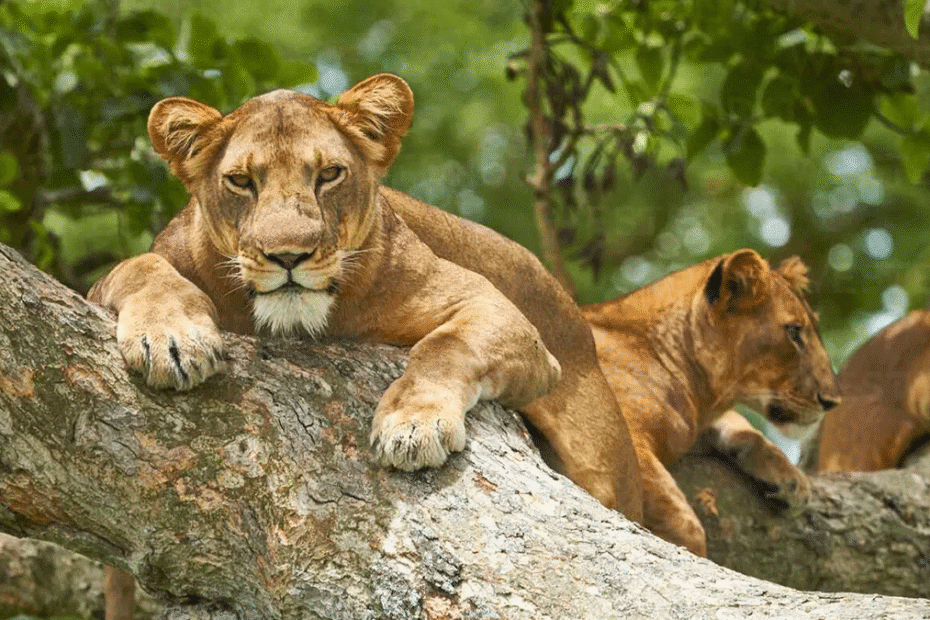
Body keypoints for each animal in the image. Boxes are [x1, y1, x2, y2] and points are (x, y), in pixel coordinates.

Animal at [89, 74, 646, 619]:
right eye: (242, 181)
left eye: (329, 175)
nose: (288, 256)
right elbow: (138, 266)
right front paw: (172, 338)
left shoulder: (495, 309)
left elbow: (445, 346)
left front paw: (413, 425)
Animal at [582, 249, 841, 556]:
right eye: (793, 332)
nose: (833, 400)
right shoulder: (620, 432)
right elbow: (682, 522)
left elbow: (738, 423)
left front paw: (791, 480)